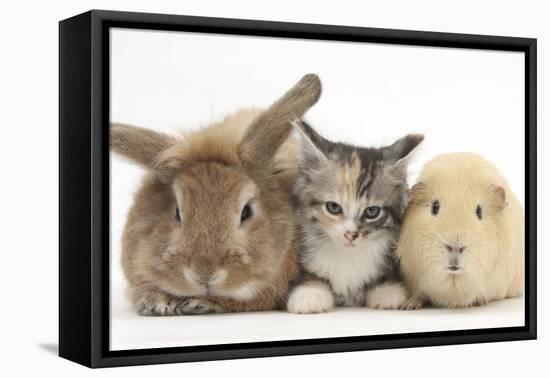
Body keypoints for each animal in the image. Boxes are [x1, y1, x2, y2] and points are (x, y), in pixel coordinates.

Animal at [286, 121, 424, 314]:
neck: (347, 255)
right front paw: (310, 296)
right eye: (333, 207)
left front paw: (387, 292)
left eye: (372, 211)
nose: (350, 234)